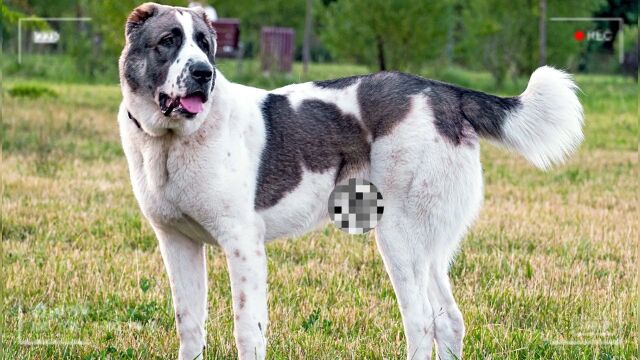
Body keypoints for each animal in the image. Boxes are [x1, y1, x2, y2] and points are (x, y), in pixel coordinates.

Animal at [117, 3, 584, 360]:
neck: (173, 141)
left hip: (398, 237)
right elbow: (190, 326)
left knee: (421, 322)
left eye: (204, 44)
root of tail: (444, 92)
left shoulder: (243, 245)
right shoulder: (177, 243)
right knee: (448, 321)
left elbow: (247, 330)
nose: (203, 73)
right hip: (428, 246)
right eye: (168, 41)